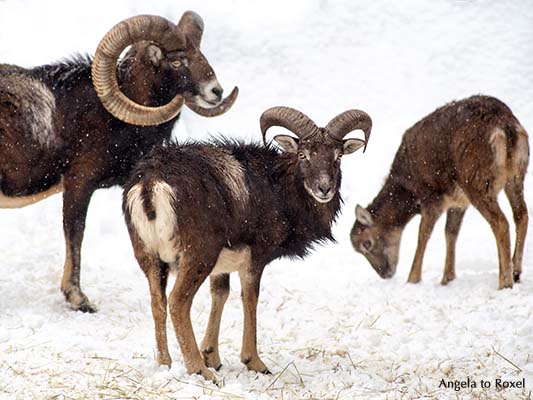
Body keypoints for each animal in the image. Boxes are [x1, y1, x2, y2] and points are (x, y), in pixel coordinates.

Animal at [0, 12, 237, 312]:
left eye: (200, 53)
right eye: (176, 61)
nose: (216, 91)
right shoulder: (79, 183)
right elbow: (75, 233)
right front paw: (79, 300)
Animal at [121, 104, 370, 380]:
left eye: (338, 156)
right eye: (303, 154)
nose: (324, 188)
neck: (280, 189)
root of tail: (151, 186)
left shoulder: (222, 267)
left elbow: (220, 294)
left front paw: (213, 357)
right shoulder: (255, 257)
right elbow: (250, 298)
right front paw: (254, 363)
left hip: (149, 258)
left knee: (158, 303)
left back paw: (165, 364)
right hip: (197, 256)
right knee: (177, 302)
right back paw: (200, 371)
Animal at [350, 95, 528, 290]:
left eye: (367, 243)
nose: (385, 273)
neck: (409, 189)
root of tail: (507, 128)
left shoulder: (431, 197)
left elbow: (423, 234)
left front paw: (412, 279)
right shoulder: (458, 201)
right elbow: (450, 232)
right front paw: (446, 278)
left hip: (477, 182)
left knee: (501, 222)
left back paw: (505, 281)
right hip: (516, 175)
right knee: (521, 214)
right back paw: (516, 272)